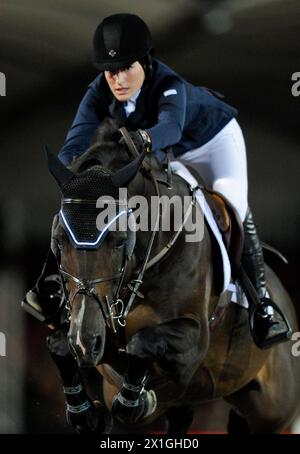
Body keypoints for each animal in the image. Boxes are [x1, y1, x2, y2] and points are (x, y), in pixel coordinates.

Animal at [46, 119, 300, 432]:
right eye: (59, 241)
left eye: (119, 240)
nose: (85, 341)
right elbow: (58, 344)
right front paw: (86, 414)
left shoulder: (194, 341)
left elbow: (143, 345)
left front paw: (136, 401)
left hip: (274, 410)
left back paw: (269, 322)